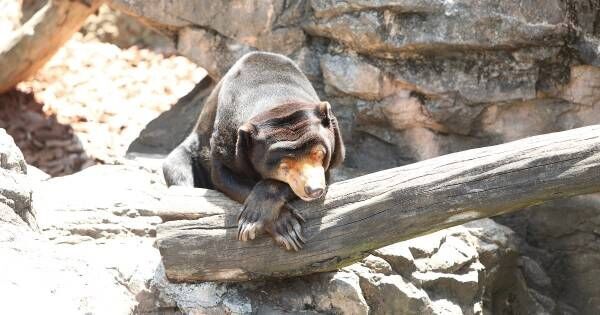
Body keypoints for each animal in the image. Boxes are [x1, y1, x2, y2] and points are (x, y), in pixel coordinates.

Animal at [162, 53, 344, 253]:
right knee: (176, 168)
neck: (275, 97)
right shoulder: (227, 141)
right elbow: (223, 175)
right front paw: (282, 226)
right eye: (283, 164)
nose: (314, 190)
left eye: (319, 153)